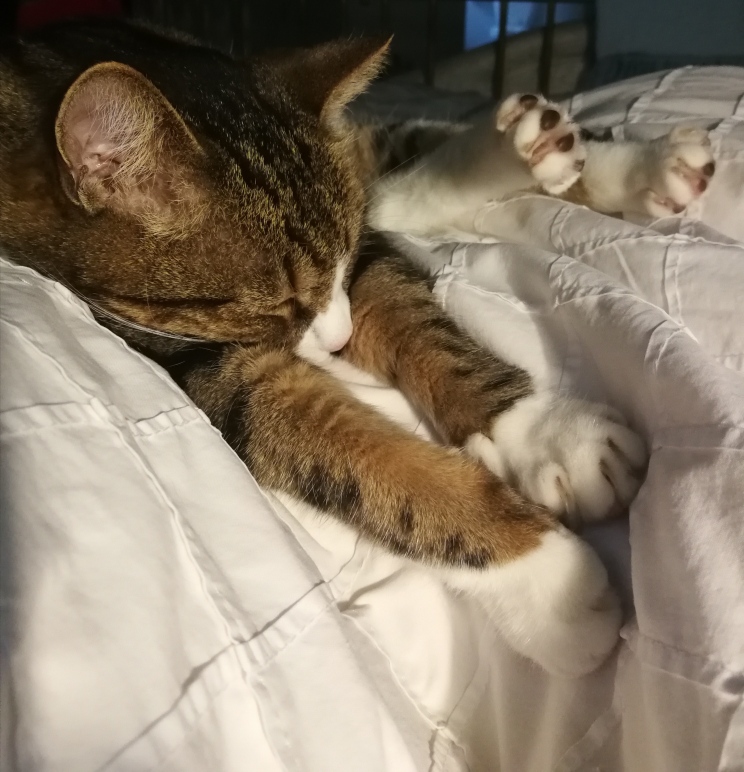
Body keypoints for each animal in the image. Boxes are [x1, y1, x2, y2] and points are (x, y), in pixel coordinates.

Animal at [0, 20, 714, 677]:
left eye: (335, 269)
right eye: (281, 305)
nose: (339, 339)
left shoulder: (360, 247)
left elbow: (411, 312)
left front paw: (543, 431)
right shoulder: (194, 360)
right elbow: (367, 460)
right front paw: (548, 583)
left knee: (388, 166)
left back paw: (601, 158)